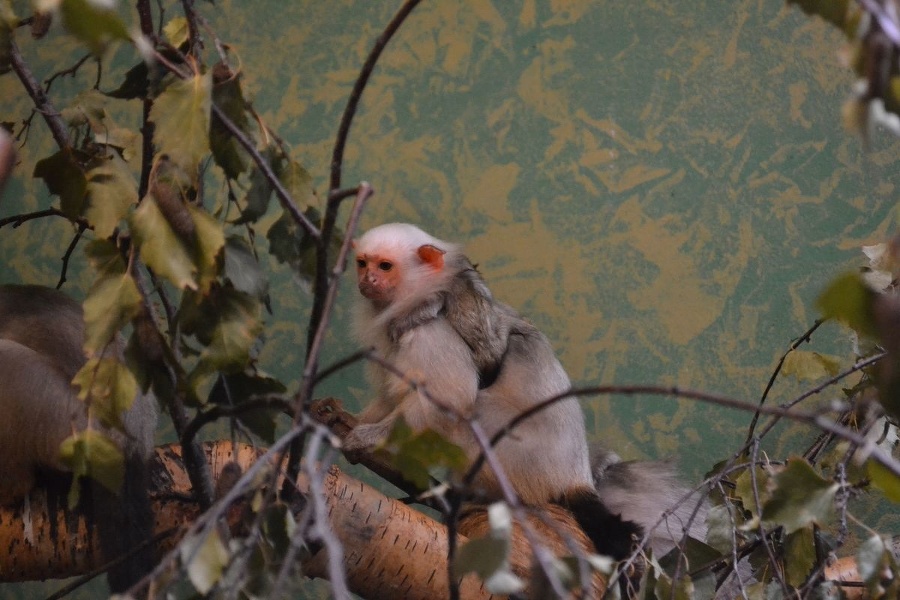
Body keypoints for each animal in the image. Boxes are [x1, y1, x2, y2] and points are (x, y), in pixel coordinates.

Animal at [348, 223, 708, 560]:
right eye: (362, 263)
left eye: (385, 266)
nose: (368, 280)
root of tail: (575, 475)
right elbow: (389, 396)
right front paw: (349, 422)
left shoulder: (433, 331)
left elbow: (451, 397)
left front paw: (369, 439)